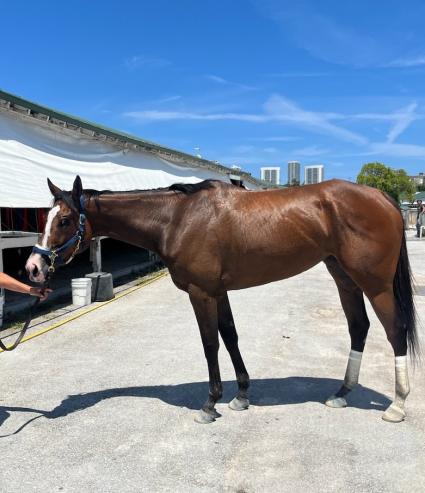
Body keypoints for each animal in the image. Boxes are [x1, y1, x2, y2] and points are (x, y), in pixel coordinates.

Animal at [24, 176, 416, 422]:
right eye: (45, 218)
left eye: (64, 219)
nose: (34, 267)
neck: (176, 218)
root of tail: (382, 197)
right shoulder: (218, 291)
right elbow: (229, 336)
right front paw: (241, 395)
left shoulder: (201, 293)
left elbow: (209, 342)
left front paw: (210, 403)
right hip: (344, 277)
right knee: (359, 327)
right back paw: (342, 392)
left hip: (375, 284)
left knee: (395, 331)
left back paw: (397, 405)